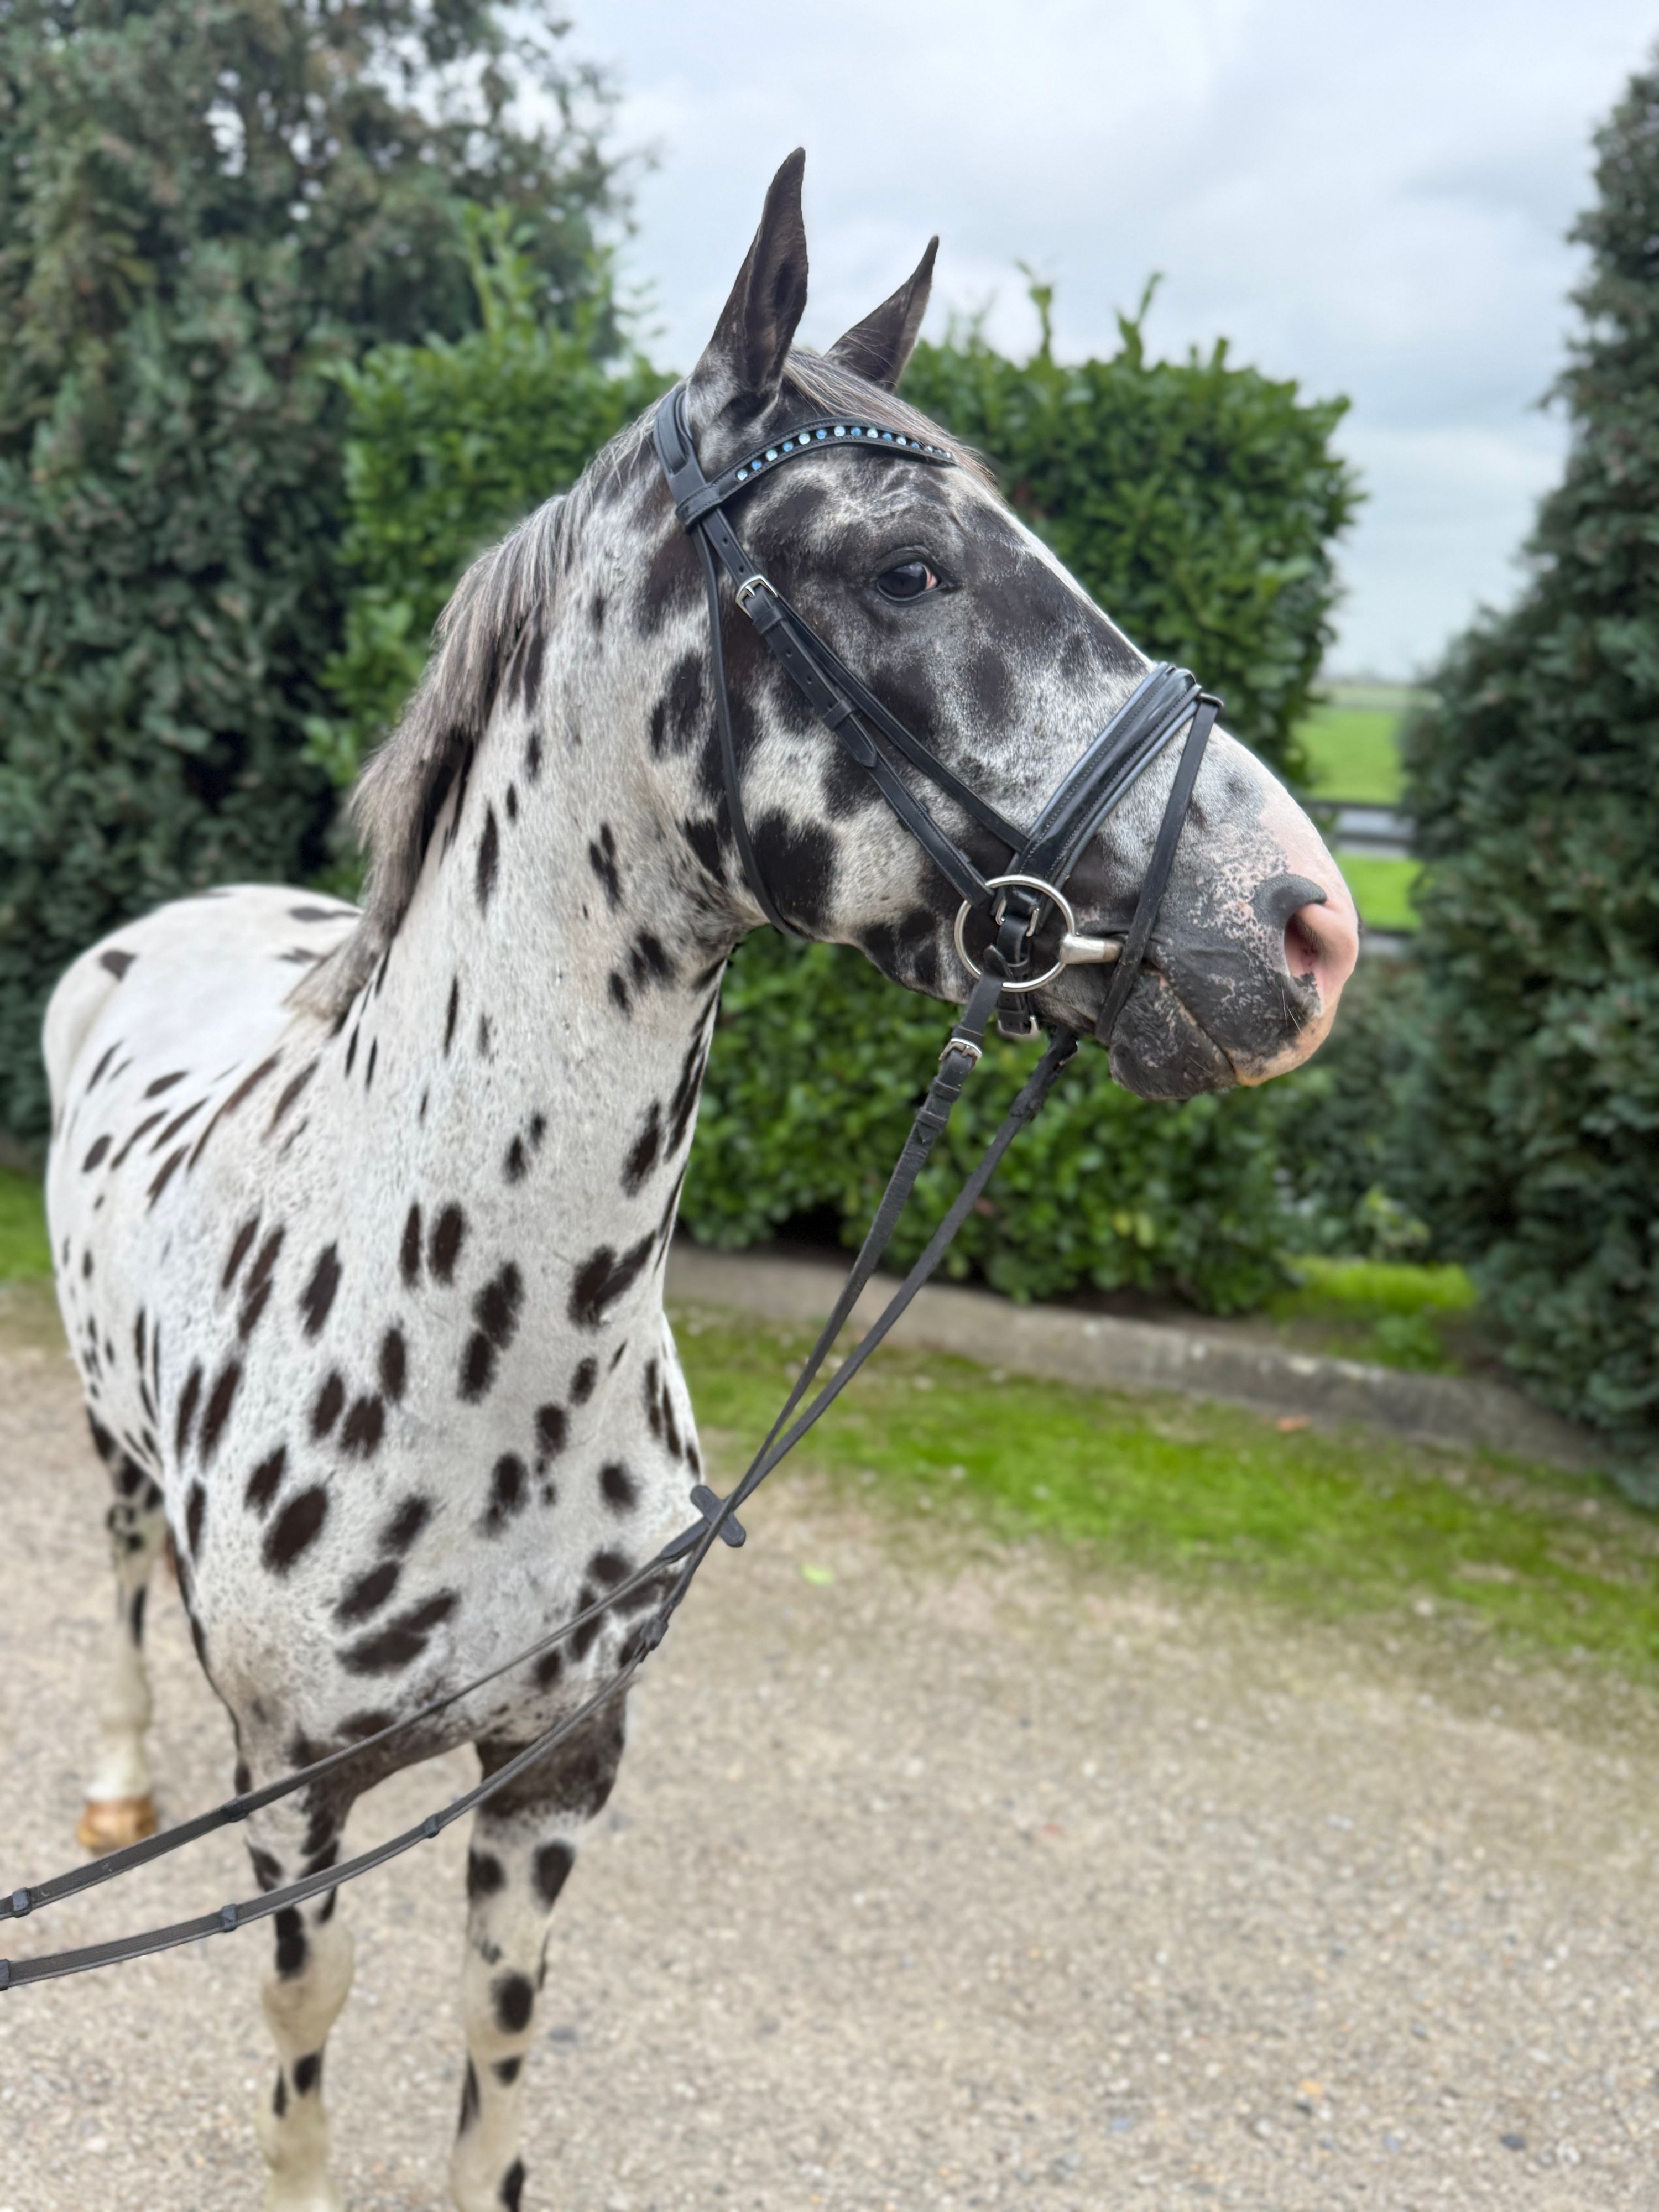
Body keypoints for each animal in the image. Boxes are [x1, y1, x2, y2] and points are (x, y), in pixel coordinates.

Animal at [39, 150, 1357, 2211]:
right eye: (906, 568)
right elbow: (304, 2065)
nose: (1306, 931)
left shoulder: (553, 1790)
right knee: (110, 1575)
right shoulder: (301, 1815)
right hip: (112, 1456)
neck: (461, 1342)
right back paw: (112, 1780)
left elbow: (492, 2086)